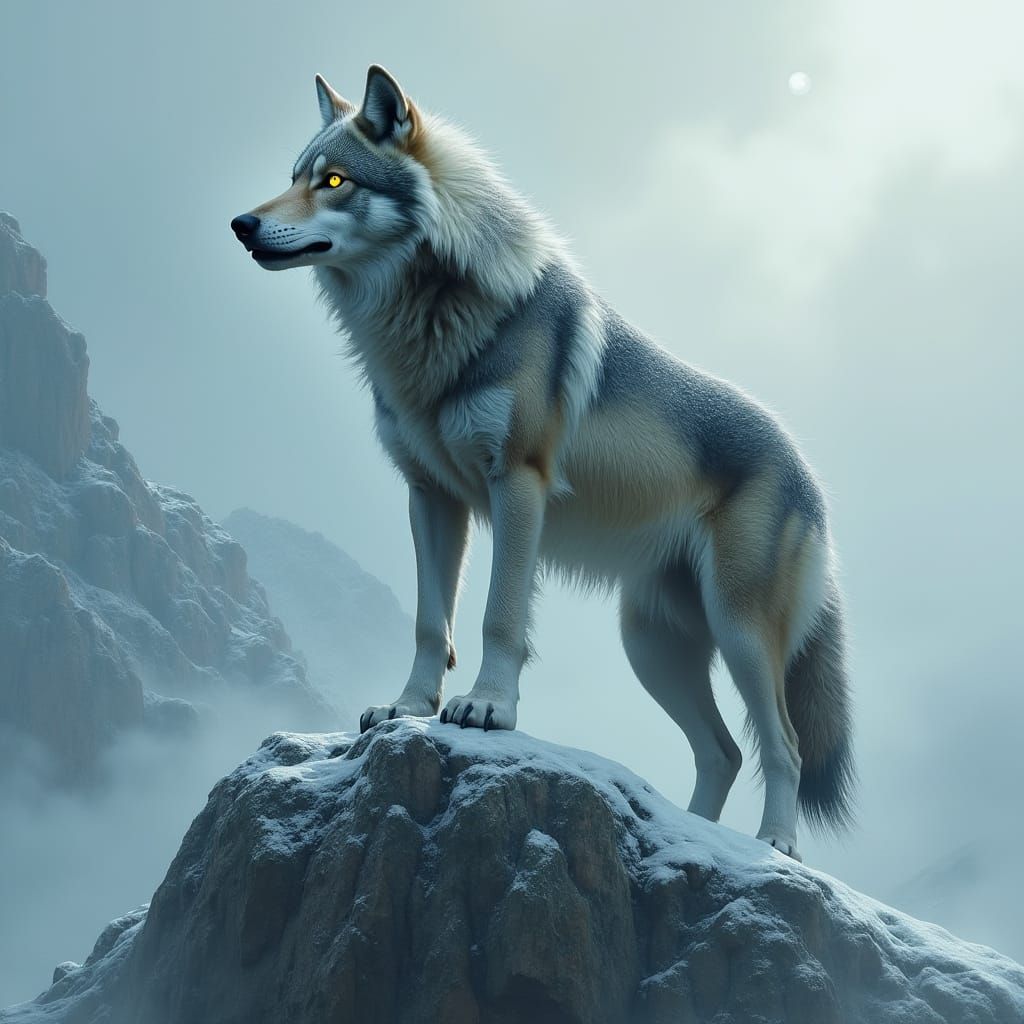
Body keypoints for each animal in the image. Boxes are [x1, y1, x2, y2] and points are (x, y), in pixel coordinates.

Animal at [230, 65, 855, 860]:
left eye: (334, 180)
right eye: (294, 179)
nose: (242, 224)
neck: (428, 322)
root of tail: (809, 473)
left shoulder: (517, 485)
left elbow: (498, 617)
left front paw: (488, 709)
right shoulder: (430, 496)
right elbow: (431, 622)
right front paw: (408, 707)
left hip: (739, 634)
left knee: (786, 749)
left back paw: (773, 845)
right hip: (651, 646)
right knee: (723, 751)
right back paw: (693, 843)